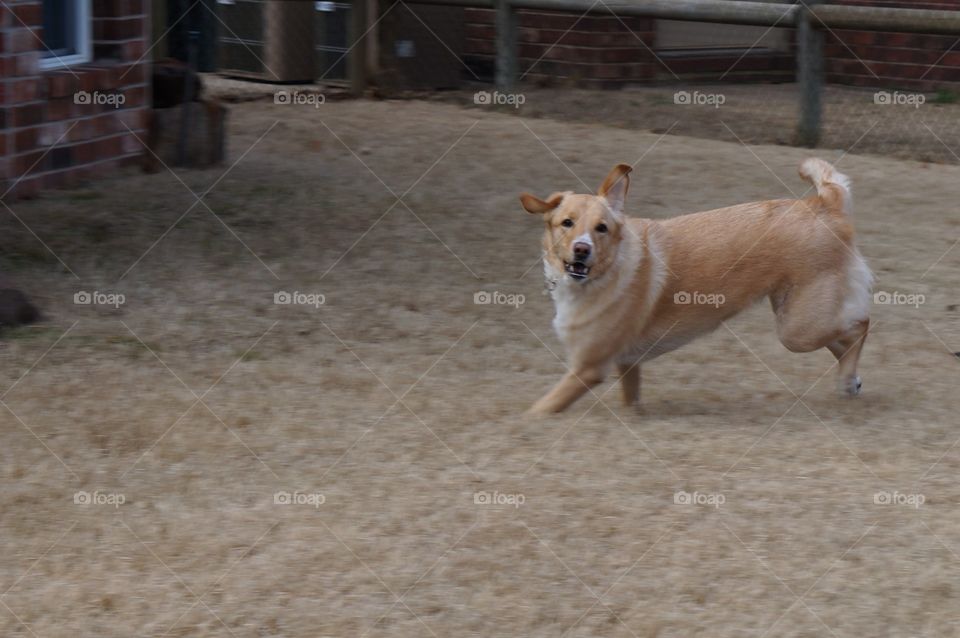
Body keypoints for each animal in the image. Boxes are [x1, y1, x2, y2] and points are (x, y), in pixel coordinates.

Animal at [520, 160, 872, 416]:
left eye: (601, 228)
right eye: (567, 223)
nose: (582, 249)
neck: (607, 271)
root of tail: (825, 201)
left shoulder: (588, 368)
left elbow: (541, 409)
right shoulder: (627, 362)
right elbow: (631, 400)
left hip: (798, 329)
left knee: (861, 325)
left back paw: (846, 380)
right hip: (801, 318)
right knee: (844, 339)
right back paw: (851, 382)